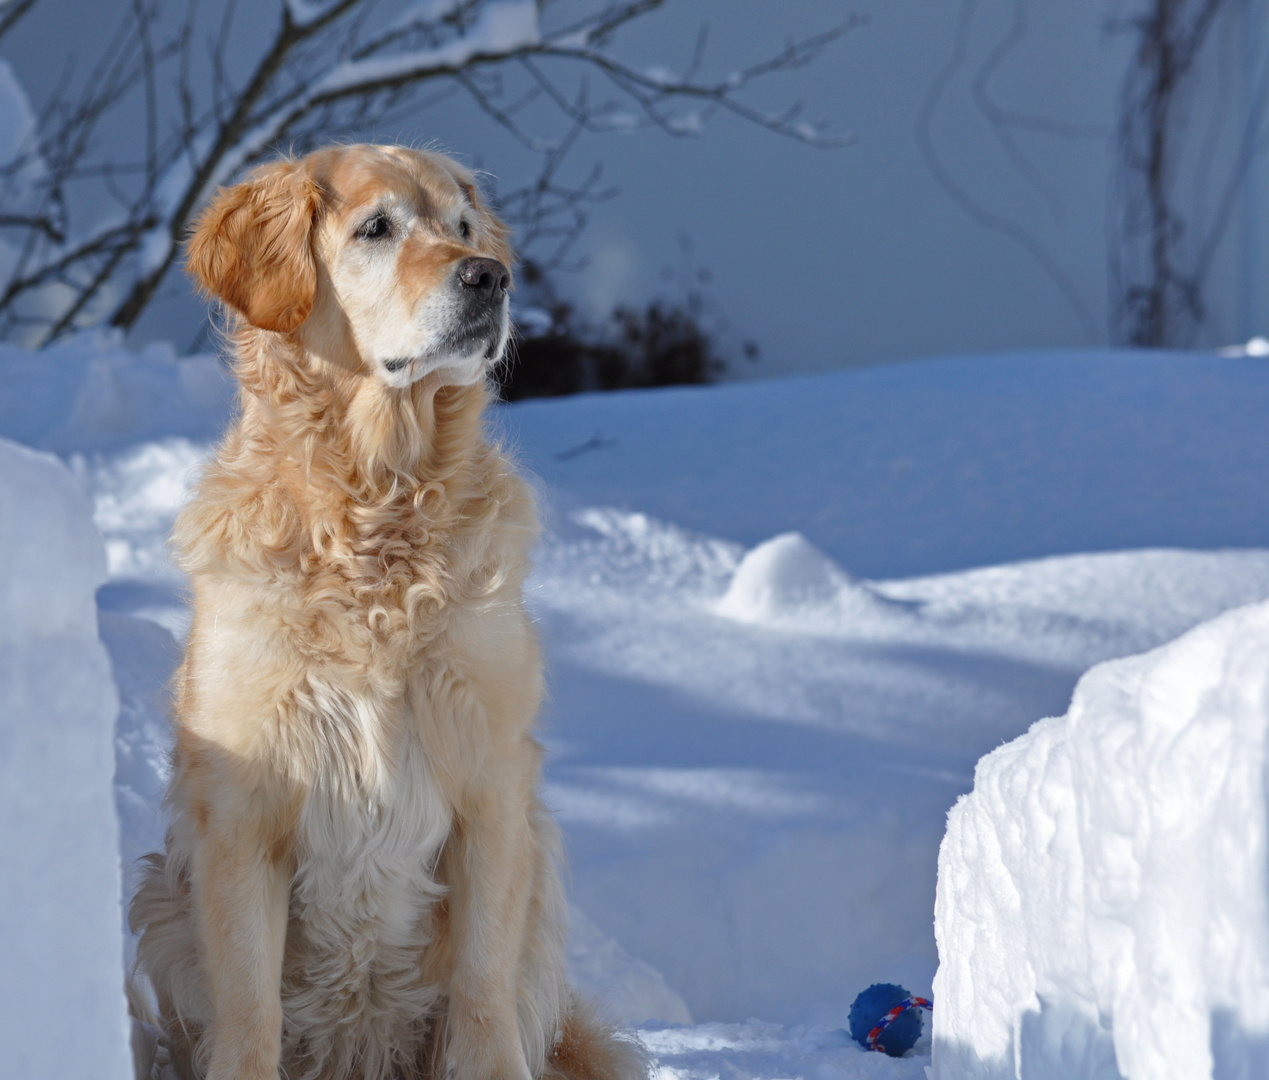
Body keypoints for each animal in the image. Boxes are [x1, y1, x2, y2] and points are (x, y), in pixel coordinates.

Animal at [128, 143, 644, 1080]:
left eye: (465, 227)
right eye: (376, 228)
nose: (491, 277)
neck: (378, 505)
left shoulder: (490, 789)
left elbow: (480, 996)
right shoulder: (242, 809)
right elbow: (248, 1009)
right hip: (160, 896)